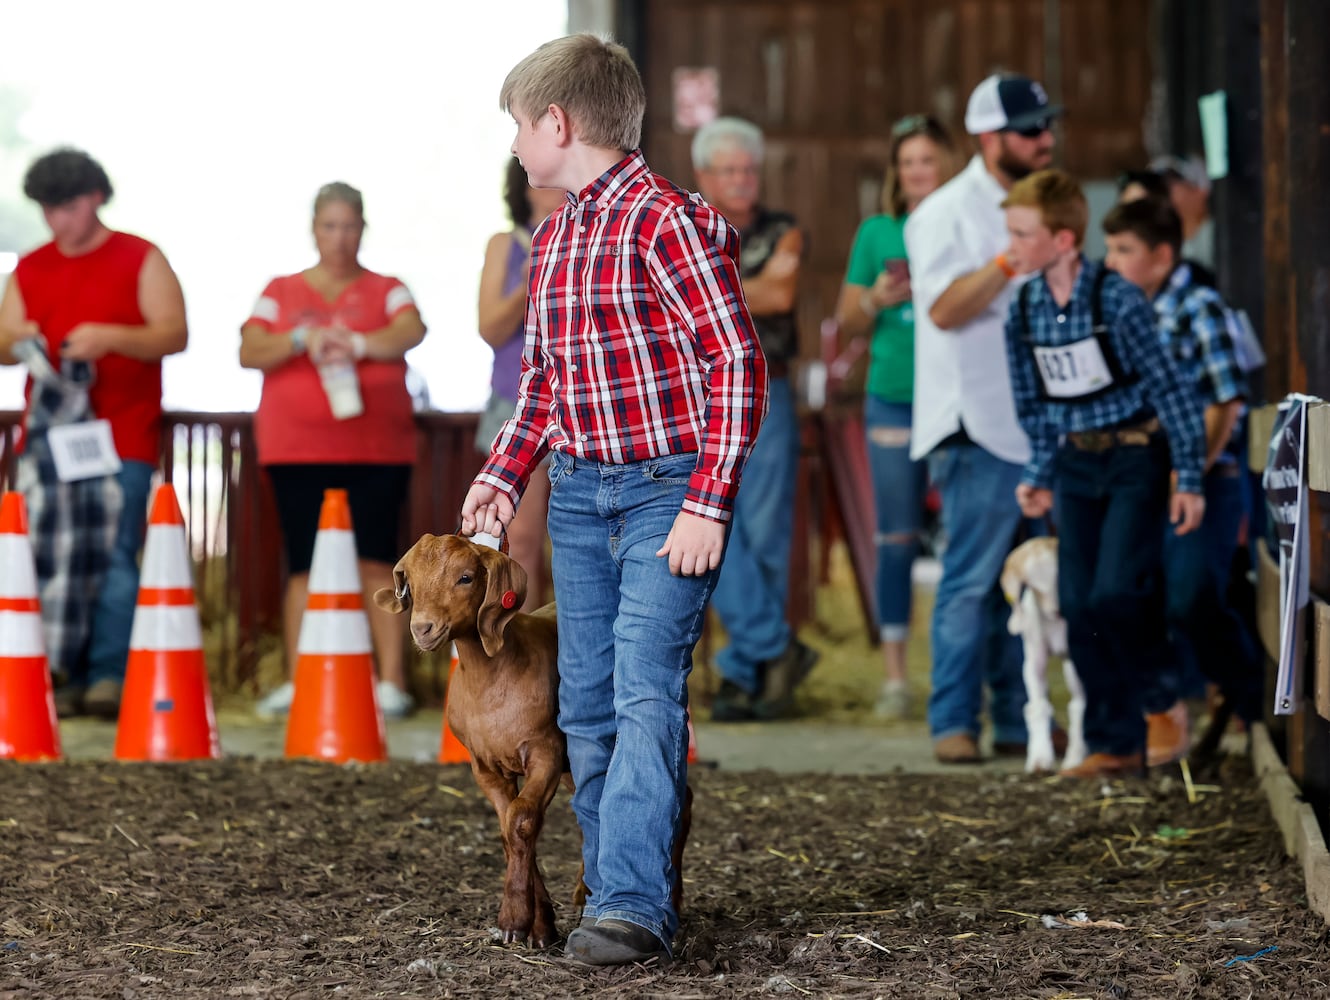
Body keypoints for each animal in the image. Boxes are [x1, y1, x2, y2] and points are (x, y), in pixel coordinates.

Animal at [1000, 539, 1085, 771]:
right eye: (1032, 587)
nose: (1061, 610)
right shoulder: (1033, 659)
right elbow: (1036, 707)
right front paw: (1039, 759)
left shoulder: (1074, 660)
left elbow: (1078, 707)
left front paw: (1075, 759)